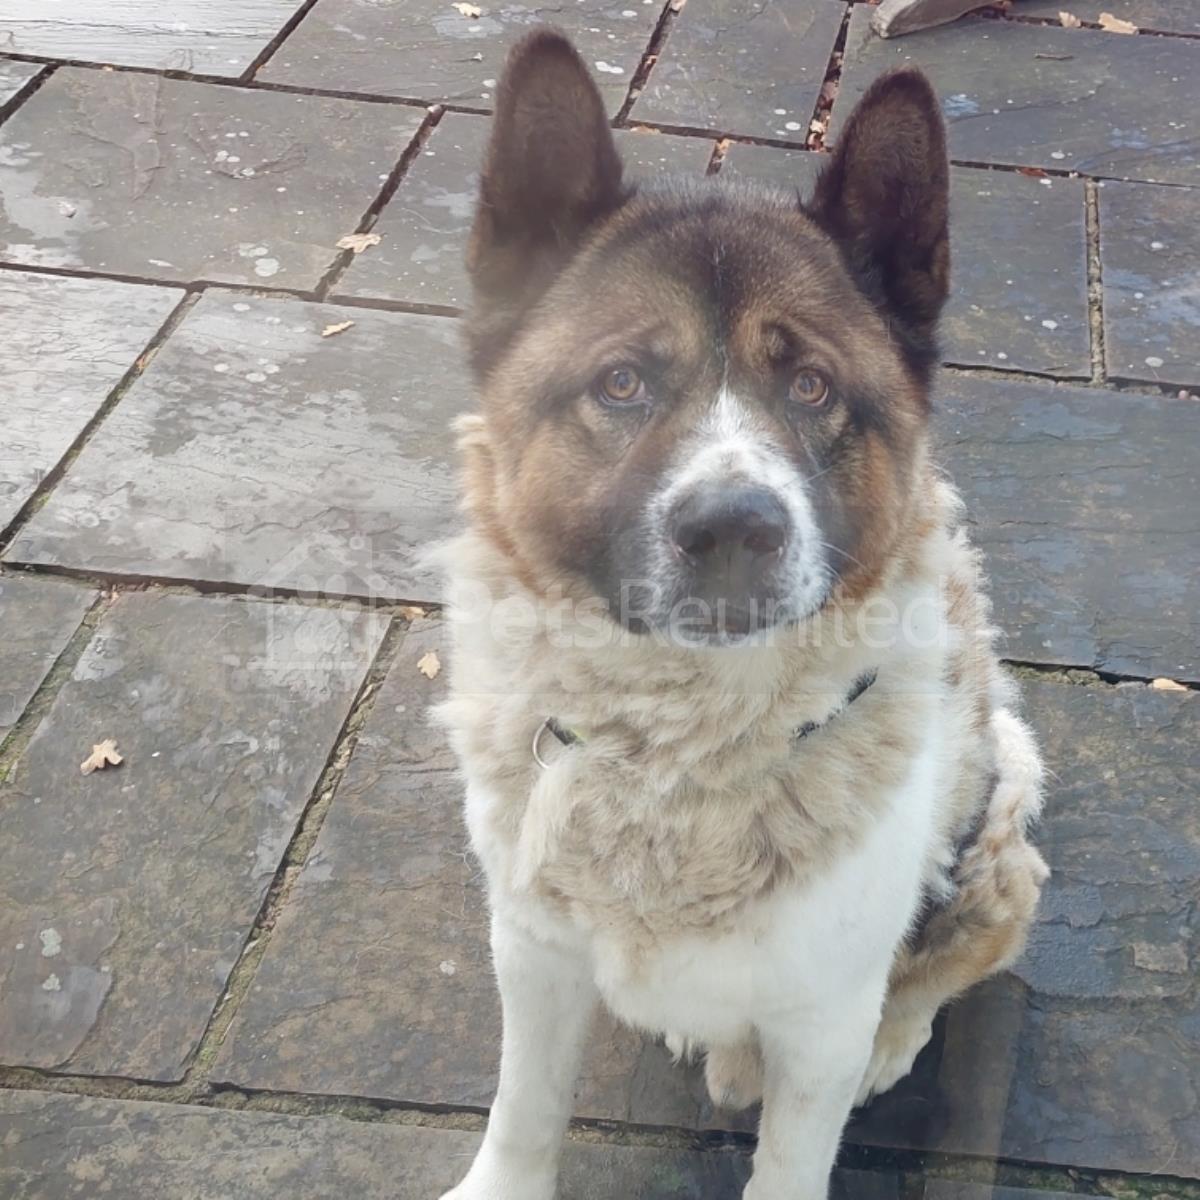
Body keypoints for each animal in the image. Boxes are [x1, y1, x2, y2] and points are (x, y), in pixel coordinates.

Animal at [435, 29, 1048, 1200]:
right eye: (622, 383)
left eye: (811, 387)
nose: (731, 528)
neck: (678, 764)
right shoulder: (532, 955)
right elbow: (522, 1110)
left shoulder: (820, 1027)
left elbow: (794, 1151)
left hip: (997, 841)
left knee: (942, 968)